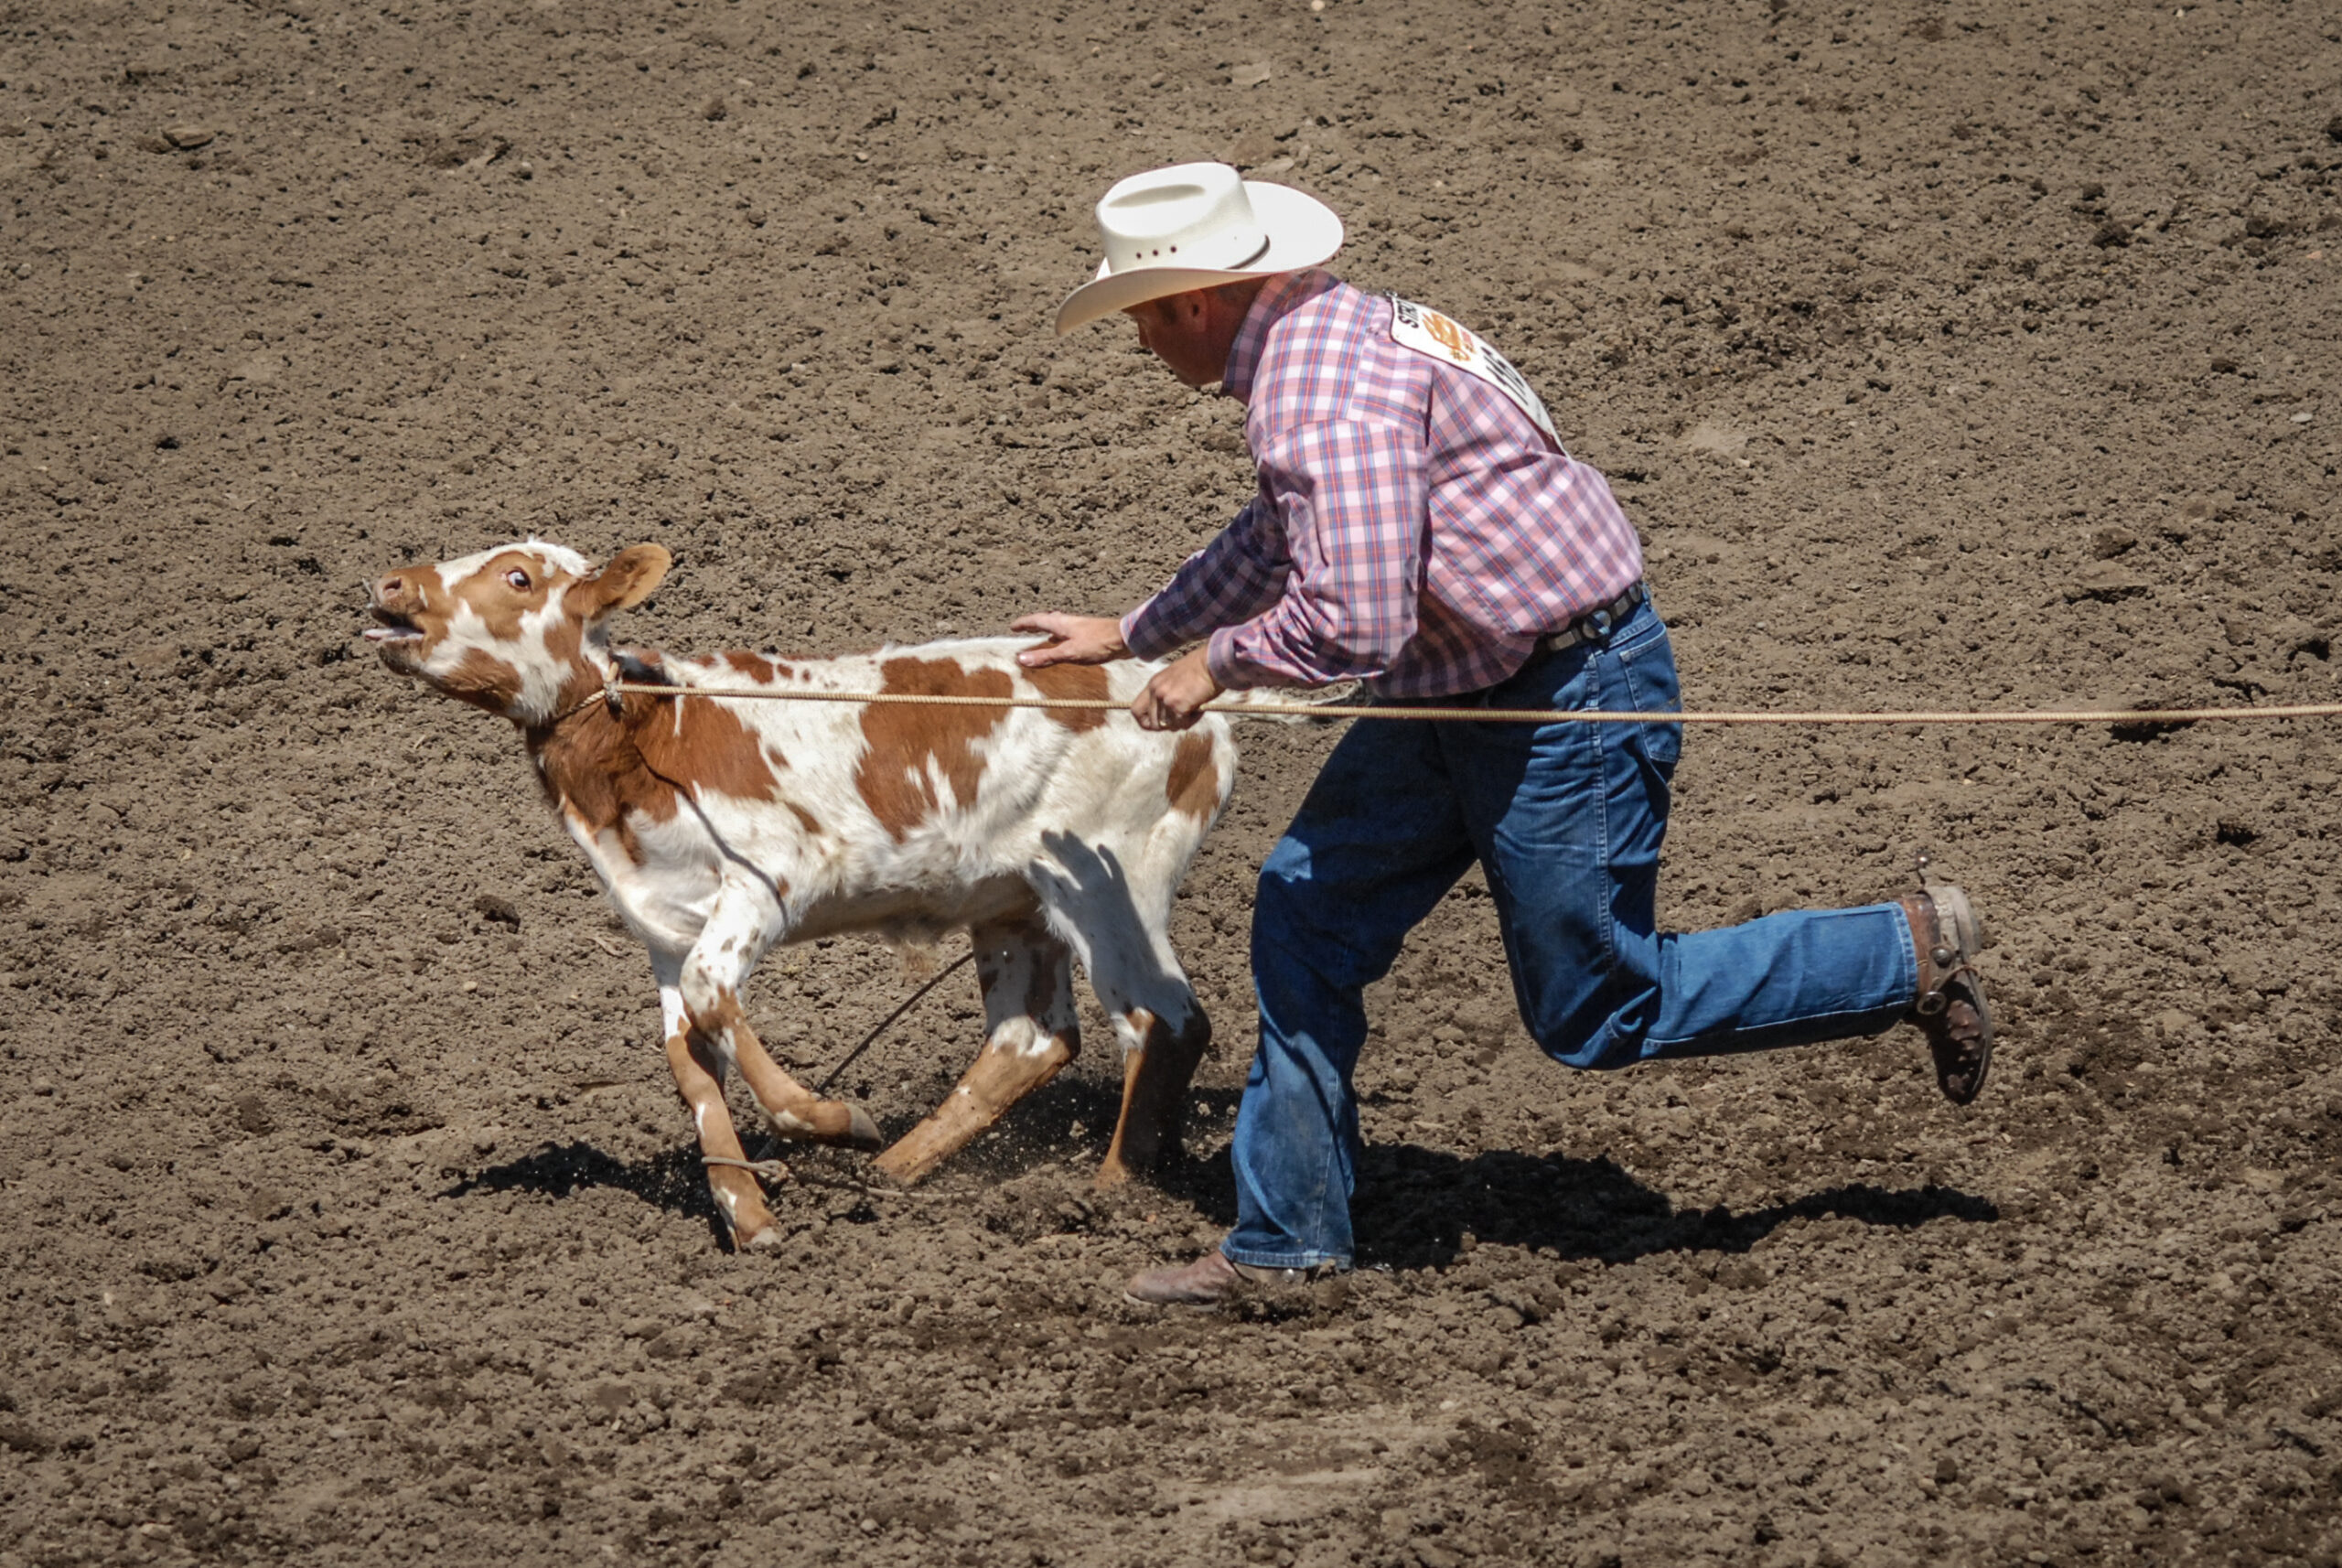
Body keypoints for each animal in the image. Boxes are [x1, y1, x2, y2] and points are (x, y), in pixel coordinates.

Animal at [364, 539, 1230, 1250]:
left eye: (518, 576)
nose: (391, 582)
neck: (648, 738)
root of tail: (1196, 713)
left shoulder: (769, 880)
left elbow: (715, 995)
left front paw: (830, 1122)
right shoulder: (663, 930)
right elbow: (690, 1060)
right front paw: (750, 1217)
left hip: (1111, 886)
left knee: (1163, 1021)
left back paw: (1111, 1198)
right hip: (1013, 904)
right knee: (1031, 1040)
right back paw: (889, 1174)